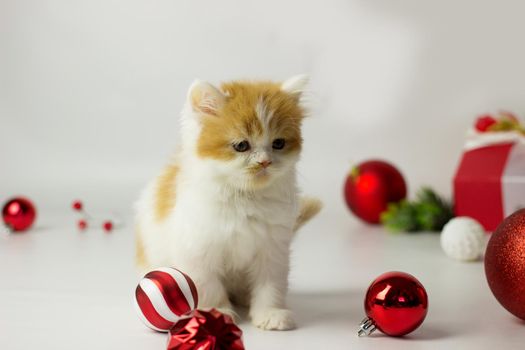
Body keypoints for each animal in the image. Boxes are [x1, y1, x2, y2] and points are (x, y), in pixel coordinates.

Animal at [135, 76, 320, 330]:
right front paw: (216, 311)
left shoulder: (274, 248)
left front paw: (270, 313)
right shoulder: (198, 250)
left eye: (278, 143)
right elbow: (208, 285)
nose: (265, 162)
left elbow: (270, 284)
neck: (245, 197)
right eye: (241, 145)